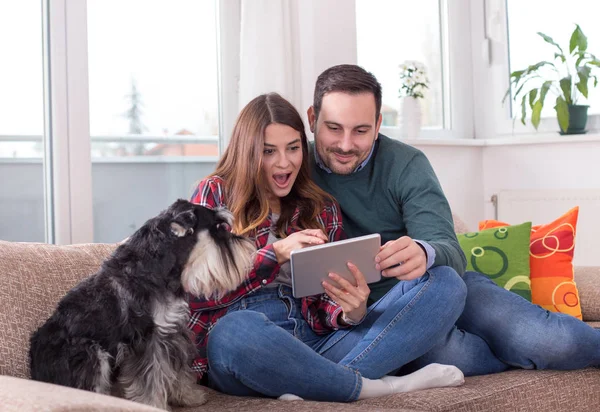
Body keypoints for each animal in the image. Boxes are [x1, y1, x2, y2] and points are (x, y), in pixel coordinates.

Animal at [29, 199, 254, 408]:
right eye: (219, 227)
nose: (248, 246)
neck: (158, 268)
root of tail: (36, 371)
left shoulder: (173, 331)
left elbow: (178, 372)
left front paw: (189, 396)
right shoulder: (148, 338)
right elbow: (151, 378)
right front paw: (154, 405)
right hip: (90, 353)